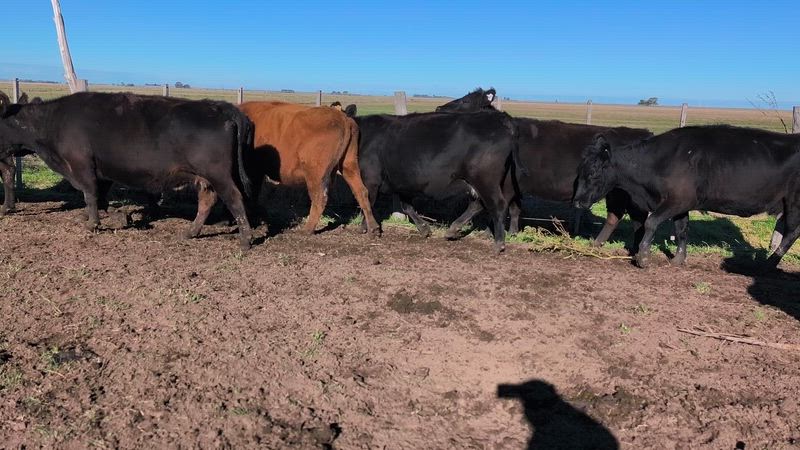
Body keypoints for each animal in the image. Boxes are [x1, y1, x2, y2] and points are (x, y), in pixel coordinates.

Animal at [0, 92, 255, 250]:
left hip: (218, 175)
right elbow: (100, 197)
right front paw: (118, 215)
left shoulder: (82, 165)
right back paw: (190, 232)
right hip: (204, 178)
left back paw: (245, 239)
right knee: (207, 201)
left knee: (234, 199)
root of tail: (217, 105)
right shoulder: (102, 170)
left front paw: (93, 223)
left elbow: (90, 194)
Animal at [238, 101, 379, 235]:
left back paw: (307, 229)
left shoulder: (254, 170)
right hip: (349, 165)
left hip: (315, 174)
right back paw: (373, 228)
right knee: (362, 192)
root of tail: (343, 118)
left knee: (319, 197)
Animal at [353, 108, 522, 254]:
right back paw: (453, 230)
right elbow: (407, 207)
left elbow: (367, 202)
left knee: (497, 205)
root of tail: (500, 118)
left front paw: (366, 228)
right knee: (479, 204)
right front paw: (424, 229)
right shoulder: (403, 184)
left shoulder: (370, 179)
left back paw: (499, 244)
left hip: (485, 180)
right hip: (496, 182)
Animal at [435, 88, 654, 246]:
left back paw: (597, 244)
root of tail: (643, 133)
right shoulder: (514, 185)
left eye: (465, 100)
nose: (438, 108)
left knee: (614, 217)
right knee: (633, 218)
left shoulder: (499, 184)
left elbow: (484, 206)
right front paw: (511, 232)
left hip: (617, 193)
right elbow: (514, 209)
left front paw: (457, 229)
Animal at [573, 125, 800, 268]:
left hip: (794, 204)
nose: (577, 202)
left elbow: (651, 222)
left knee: (791, 233)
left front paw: (643, 257)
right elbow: (681, 230)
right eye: (579, 172)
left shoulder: (677, 200)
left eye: (592, 174)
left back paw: (769, 264)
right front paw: (678, 260)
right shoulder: (682, 206)